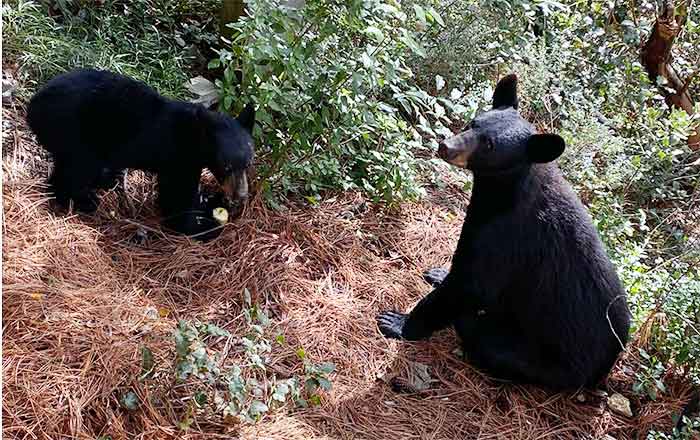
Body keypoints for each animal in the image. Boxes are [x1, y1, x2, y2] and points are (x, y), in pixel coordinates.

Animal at [26, 68, 255, 240]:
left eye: (248, 163)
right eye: (226, 165)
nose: (241, 195)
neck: (194, 137)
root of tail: (33, 104)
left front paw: (213, 201)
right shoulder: (179, 159)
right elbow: (176, 199)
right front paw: (204, 227)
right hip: (77, 134)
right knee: (75, 170)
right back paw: (82, 200)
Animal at [376, 74, 631, 390]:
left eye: (489, 145)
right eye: (473, 122)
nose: (446, 145)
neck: (501, 194)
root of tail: (604, 372)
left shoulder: (506, 239)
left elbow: (472, 284)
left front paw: (396, 322)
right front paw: (437, 273)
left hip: (545, 359)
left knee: (481, 335)